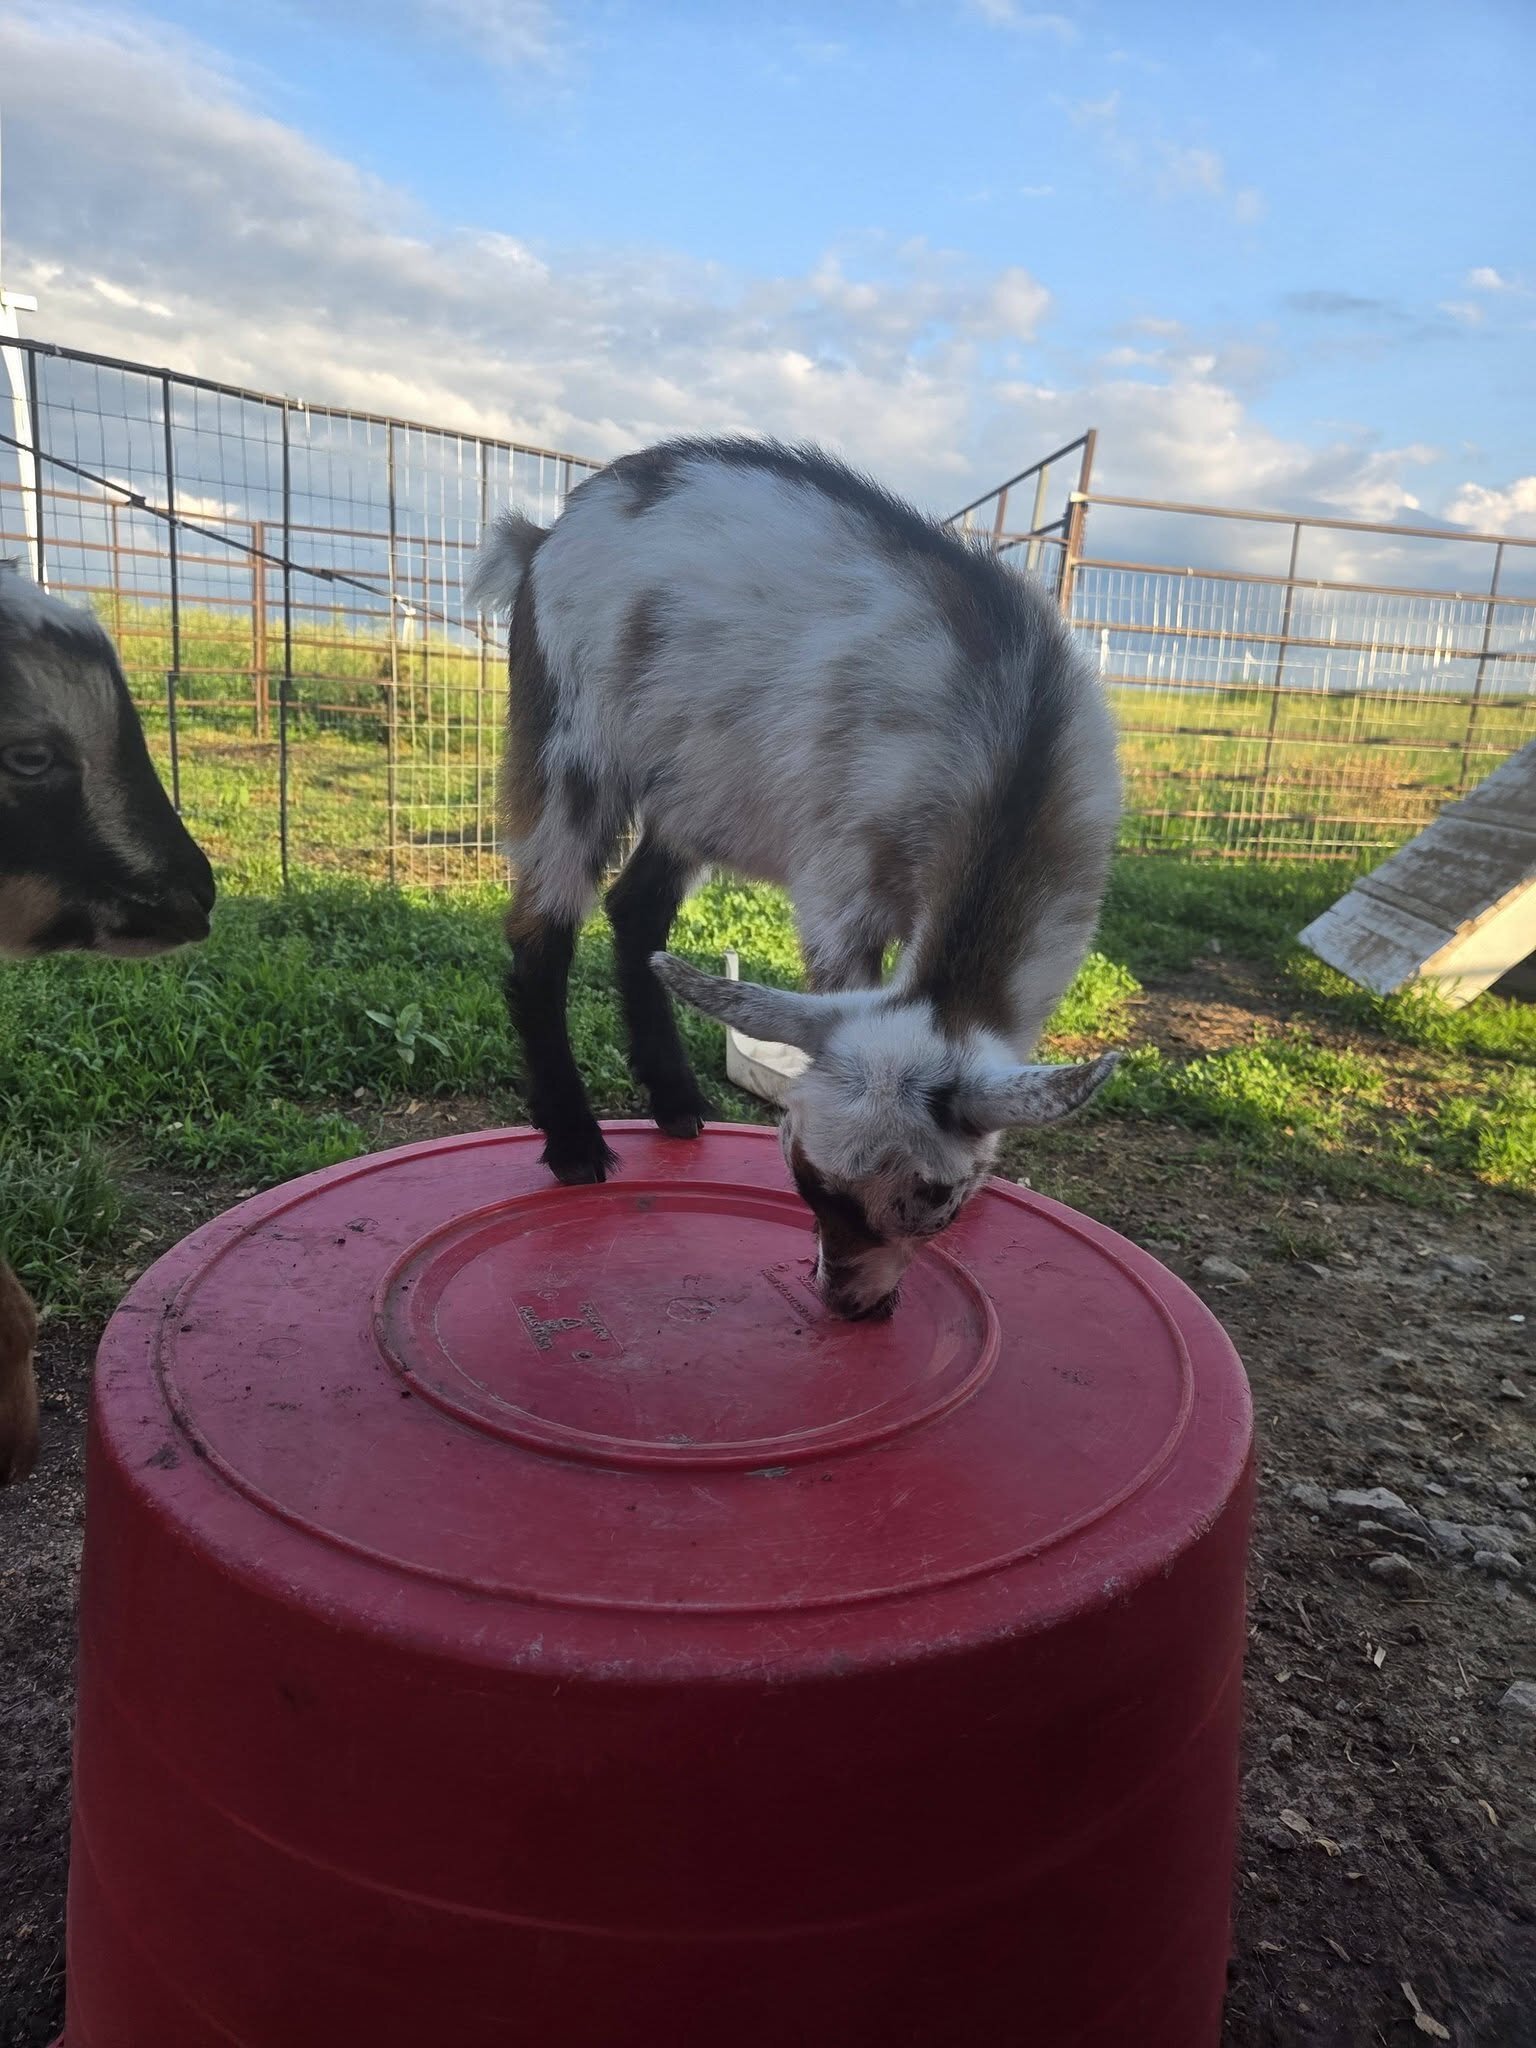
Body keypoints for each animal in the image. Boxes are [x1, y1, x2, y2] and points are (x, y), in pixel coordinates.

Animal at [469, 437, 1121, 1321]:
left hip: (696, 785)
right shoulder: (842, 888)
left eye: (939, 1201)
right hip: (571, 741)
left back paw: (676, 1102)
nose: (852, 1305)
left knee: (636, 908)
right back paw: (575, 1140)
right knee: (542, 930)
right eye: (805, 1179)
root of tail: (543, 537)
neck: (1015, 752)